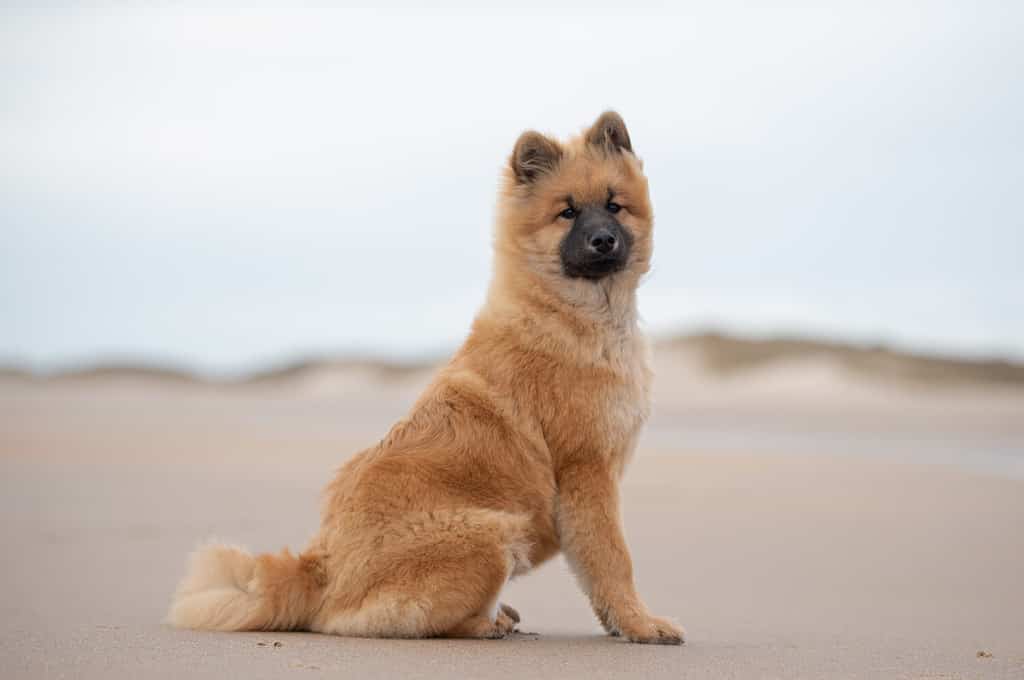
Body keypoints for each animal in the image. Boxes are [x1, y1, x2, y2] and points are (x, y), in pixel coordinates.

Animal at [169, 110, 679, 643]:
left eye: (614, 206)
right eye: (568, 212)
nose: (604, 240)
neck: (571, 314)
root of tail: (319, 569)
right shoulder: (587, 472)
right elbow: (612, 562)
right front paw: (641, 624)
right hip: (492, 532)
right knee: (415, 621)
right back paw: (491, 622)